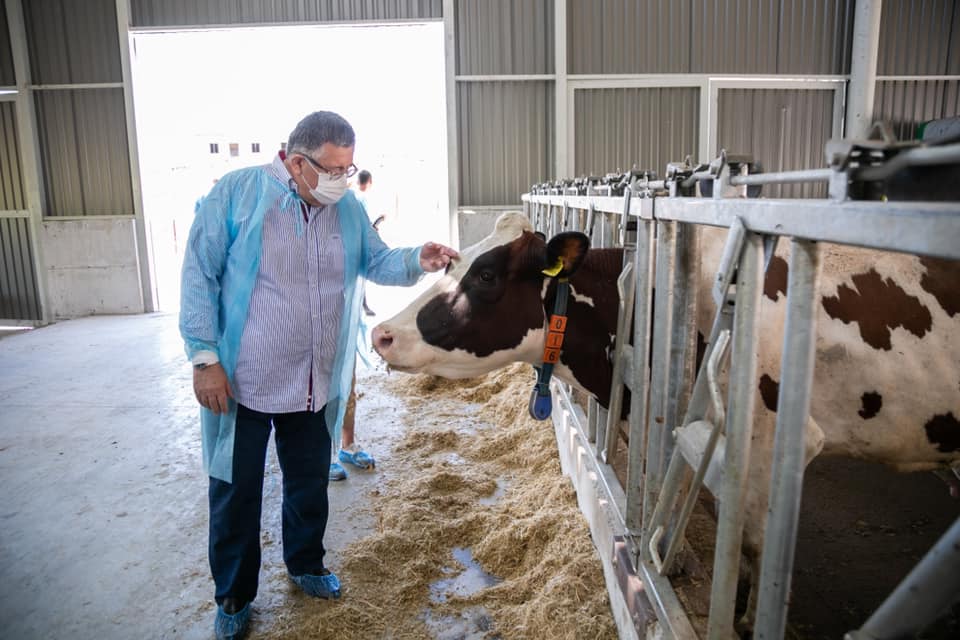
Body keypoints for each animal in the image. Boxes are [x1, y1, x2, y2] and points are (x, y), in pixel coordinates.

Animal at [371, 210, 960, 625]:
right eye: (454, 261)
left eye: (488, 275)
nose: (381, 334)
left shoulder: (769, 445)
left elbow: (755, 545)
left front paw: (747, 616)